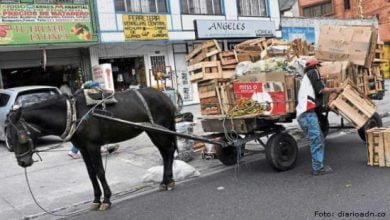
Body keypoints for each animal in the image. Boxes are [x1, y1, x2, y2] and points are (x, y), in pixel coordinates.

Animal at [6, 87, 177, 210]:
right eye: (8, 136)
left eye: (19, 136)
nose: (22, 162)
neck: (74, 114)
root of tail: (165, 96)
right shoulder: (83, 148)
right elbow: (91, 174)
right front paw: (96, 199)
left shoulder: (93, 146)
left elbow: (100, 172)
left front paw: (106, 199)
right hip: (154, 131)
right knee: (165, 152)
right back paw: (167, 181)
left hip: (158, 131)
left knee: (168, 151)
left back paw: (167, 182)